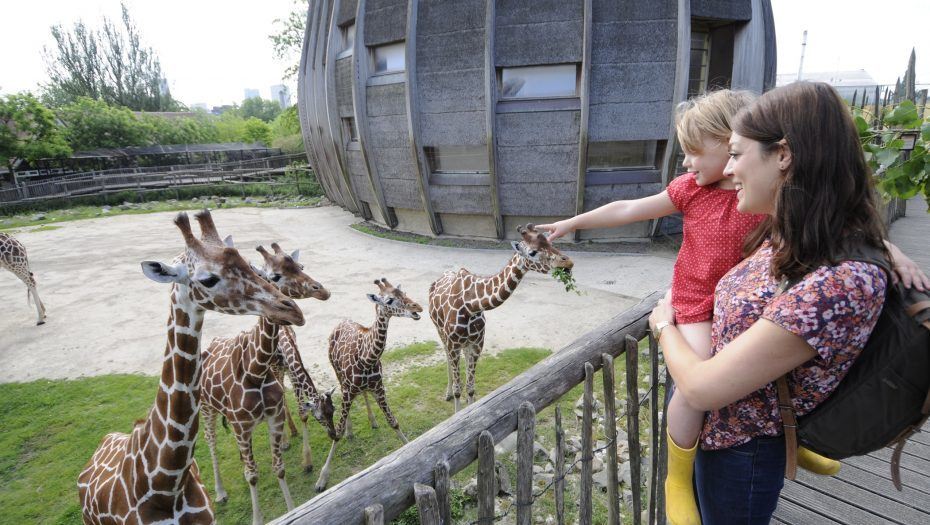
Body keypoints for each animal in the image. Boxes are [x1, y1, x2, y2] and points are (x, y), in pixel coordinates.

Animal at [78, 210, 304, 524]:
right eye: (208, 279)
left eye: (247, 263)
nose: (292, 310)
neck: (164, 488)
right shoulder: (240, 423)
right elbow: (252, 473)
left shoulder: (272, 415)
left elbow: (276, 468)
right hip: (209, 411)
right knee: (212, 441)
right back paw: (220, 491)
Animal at [199, 243, 338, 524]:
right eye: (276, 275)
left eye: (301, 266)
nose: (322, 290)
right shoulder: (278, 369)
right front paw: (304, 459)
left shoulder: (288, 370)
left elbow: (295, 407)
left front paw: (304, 458)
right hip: (207, 408)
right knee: (211, 440)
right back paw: (220, 492)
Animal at [316, 278, 424, 492]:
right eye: (389, 300)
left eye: (404, 293)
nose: (418, 307)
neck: (367, 359)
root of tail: (340, 322)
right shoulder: (349, 389)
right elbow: (337, 433)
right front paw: (322, 479)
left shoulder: (379, 387)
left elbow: (393, 421)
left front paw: (409, 448)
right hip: (338, 374)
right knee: (344, 404)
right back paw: (350, 431)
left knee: (364, 394)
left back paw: (372, 421)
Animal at [428, 223, 572, 412]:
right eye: (533, 252)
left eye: (550, 242)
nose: (567, 262)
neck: (471, 305)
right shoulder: (454, 345)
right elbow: (459, 389)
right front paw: (458, 410)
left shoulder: (478, 343)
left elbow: (471, 387)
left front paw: (470, 408)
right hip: (440, 332)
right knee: (446, 356)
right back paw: (448, 393)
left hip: (466, 343)